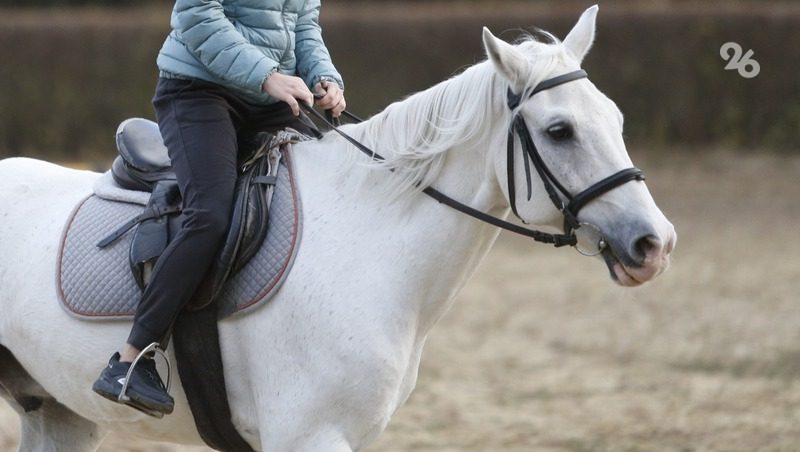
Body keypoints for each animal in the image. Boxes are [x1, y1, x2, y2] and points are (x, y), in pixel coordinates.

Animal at [0, 7, 676, 452]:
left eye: (615, 119)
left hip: (57, 413)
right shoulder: (309, 436)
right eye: (560, 130)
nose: (654, 244)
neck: (367, 244)